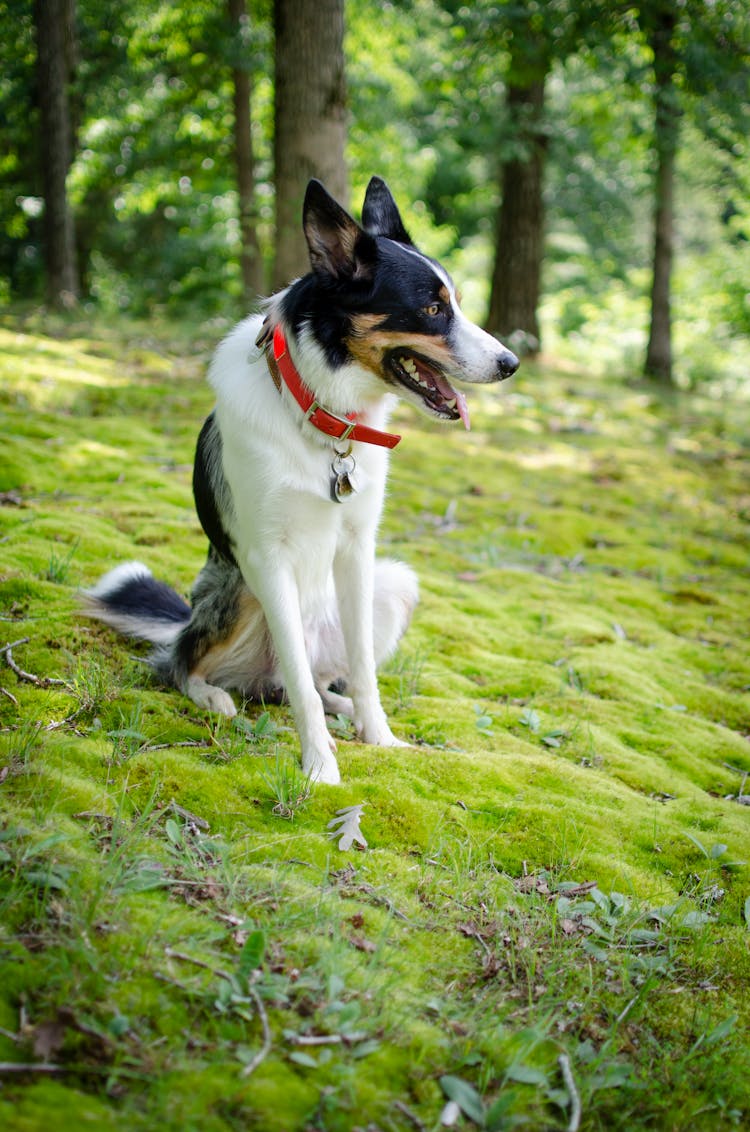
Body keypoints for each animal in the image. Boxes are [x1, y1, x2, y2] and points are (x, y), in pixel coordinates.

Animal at [80, 176, 515, 783]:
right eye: (431, 308)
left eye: (455, 303)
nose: (511, 363)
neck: (322, 414)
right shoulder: (266, 556)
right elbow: (296, 688)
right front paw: (319, 769)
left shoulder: (357, 548)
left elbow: (362, 668)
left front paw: (379, 738)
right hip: (237, 595)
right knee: (186, 664)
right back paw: (212, 695)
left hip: (394, 584)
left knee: (305, 680)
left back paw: (342, 706)